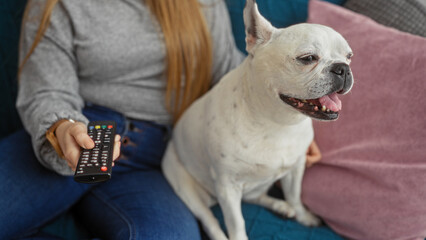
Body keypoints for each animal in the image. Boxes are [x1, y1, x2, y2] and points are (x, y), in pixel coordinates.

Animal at [161, 0, 354, 239]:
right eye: (308, 58)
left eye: (349, 56)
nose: (343, 68)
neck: (276, 123)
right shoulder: (228, 187)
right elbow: (236, 222)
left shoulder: (296, 167)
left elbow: (294, 194)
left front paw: (301, 214)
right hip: (185, 186)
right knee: (209, 220)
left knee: (256, 197)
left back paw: (280, 207)